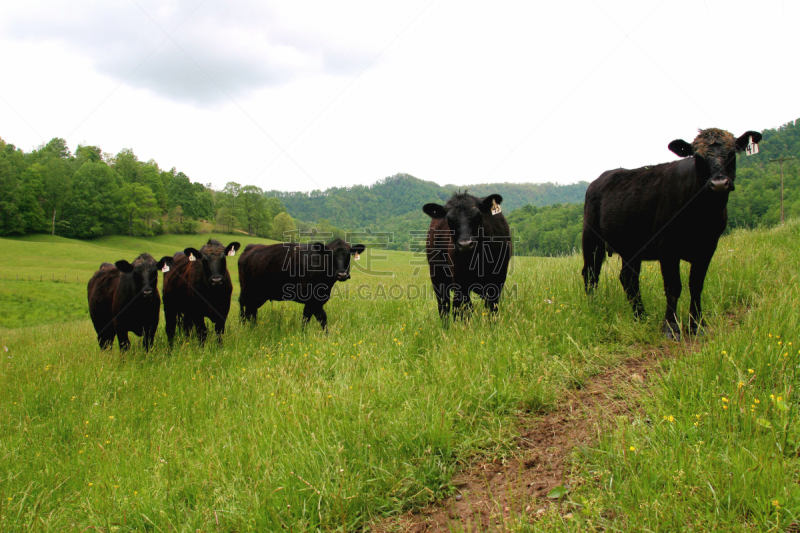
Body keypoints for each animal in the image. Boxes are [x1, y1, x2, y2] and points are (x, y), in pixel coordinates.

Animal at [236, 238, 364, 328]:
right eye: (330, 255)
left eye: (349, 255)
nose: (342, 275)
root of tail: (251, 246)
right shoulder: (312, 299)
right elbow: (316, 317)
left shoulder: (318, 299)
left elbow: (313, 317)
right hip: (248, 291)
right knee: (246, 310)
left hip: (258, 295)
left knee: (251, 311)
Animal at [580, 127, 764, 338]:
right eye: (698, 157)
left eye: (732, 153)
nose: (718, 183)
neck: (703, 216)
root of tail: (600, 179)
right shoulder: (667, 248)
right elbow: (673, 287)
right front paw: (670, 328)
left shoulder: (708, 248)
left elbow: (696, 285)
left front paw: (697, 325)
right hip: (591, 238)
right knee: (591, 273)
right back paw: (593, 308)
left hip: (631, 247)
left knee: (629, 279)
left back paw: (640, 316)